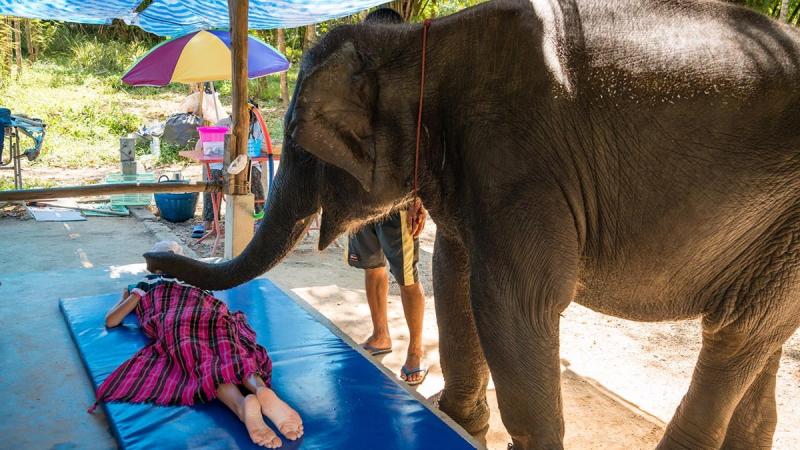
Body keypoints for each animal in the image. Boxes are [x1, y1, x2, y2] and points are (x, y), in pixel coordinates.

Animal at [146, 0, 800, 448]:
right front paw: (455, 419)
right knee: (758, 335)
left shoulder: (516, 158)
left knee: (733, 336)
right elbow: (453, 276)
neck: (421, 42)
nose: (152, 264)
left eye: (306, 147)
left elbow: (510, 302)